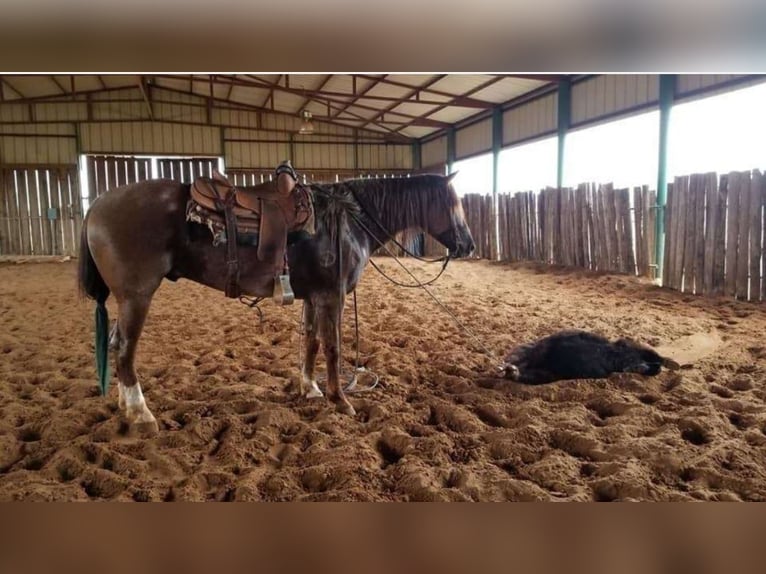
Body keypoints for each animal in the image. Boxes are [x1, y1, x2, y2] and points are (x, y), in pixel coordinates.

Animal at [78, 169, 474, 434]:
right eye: (453, 204)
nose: (468, 245)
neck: (348, 220)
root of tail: (97, 204)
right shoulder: (332, 296)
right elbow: (333, 346)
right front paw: (340, 400)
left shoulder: (314, 296)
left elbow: (311, 342)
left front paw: (311, 389)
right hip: (137, 296)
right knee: (124, 348)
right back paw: (140, 413)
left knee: (115, 345)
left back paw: (124, 404)